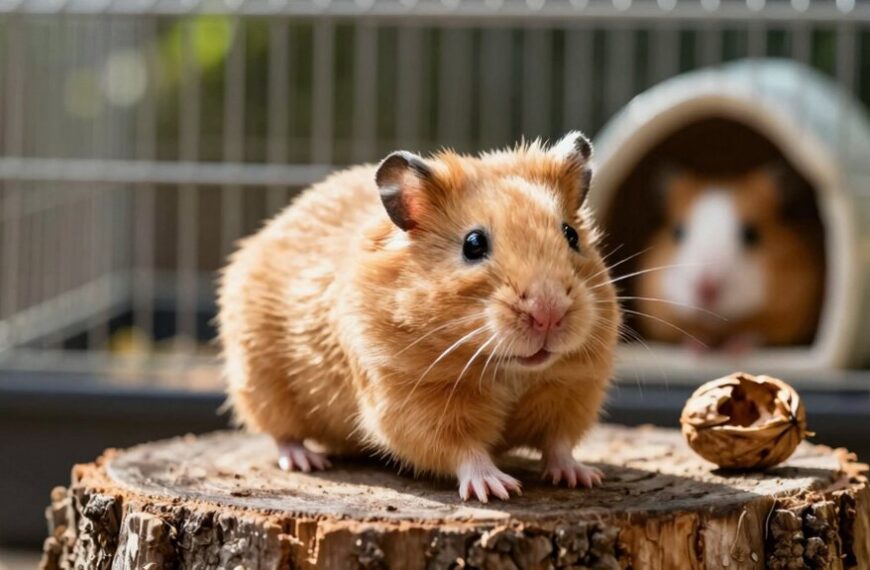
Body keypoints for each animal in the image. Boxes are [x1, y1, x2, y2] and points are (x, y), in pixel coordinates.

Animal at [218, 132, 620, 502]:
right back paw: (306, 461)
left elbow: (559, 443)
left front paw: (584, 477)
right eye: (473, 244)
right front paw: (497, 489)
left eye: (571, 235)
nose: (549, 314)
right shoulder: (415, 403)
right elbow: (463, 449)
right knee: (282, 434)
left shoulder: (573, 391)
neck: (509, 370)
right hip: (261, 383)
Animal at [635, 165, 823, 351]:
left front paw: (735, 348)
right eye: (677, 232)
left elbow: (755, 332)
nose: (706, 290)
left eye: (751, 235)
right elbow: (689, 332)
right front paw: (697, 347)